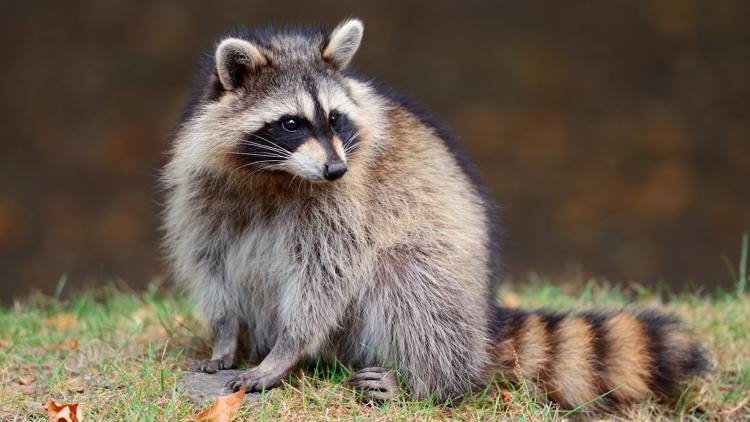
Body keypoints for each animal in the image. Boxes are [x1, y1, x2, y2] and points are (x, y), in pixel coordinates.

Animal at [162, 18, 707, 407]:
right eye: (291, 123)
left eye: (335, 118)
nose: (336, 168)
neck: (276, 174)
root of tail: (484, 319)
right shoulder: (203, 188)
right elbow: (209, 259)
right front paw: (225, 333)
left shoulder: (346, 204)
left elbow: (326, 276)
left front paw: (286, 351)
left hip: (444, 279)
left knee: (408, 284)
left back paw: (428, 381)